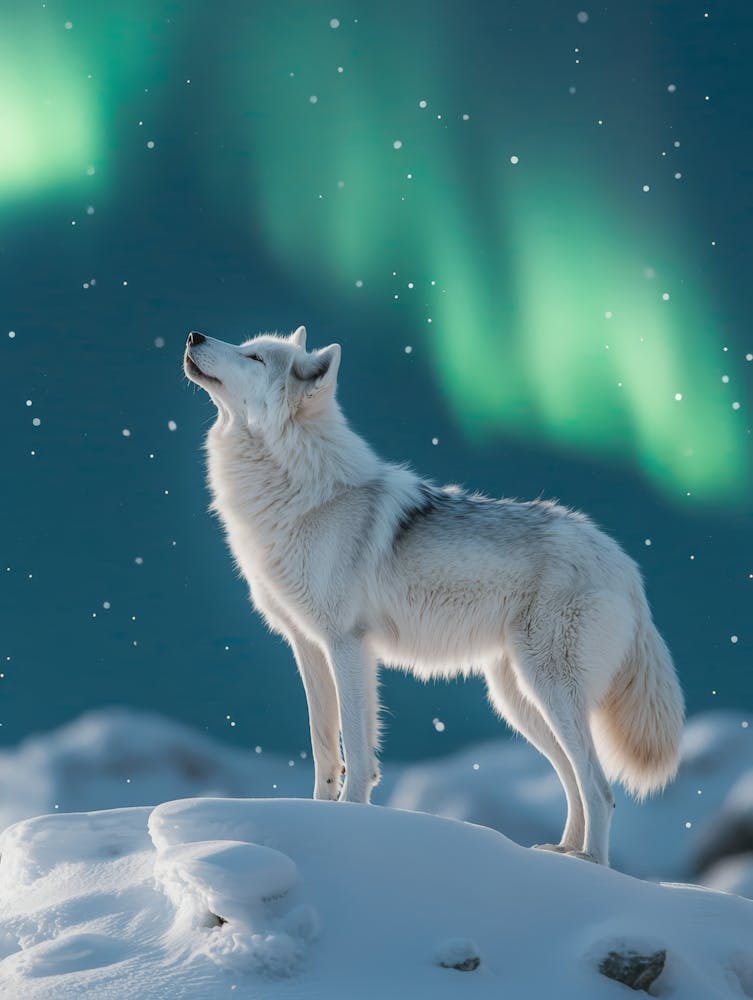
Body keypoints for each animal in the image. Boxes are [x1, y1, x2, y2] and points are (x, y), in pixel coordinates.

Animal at [184, 325, 684, 865]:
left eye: (254, 357)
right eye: (245, 346)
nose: (193, 334)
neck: (298, 489)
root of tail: (625, 565)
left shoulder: (347, 644)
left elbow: (355, 746)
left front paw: (351, 822)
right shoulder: (307, 645)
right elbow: (323, 747)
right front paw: (317, 816)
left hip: (550, 689)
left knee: (600, 787)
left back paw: (588, 864)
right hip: (519, 699)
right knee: (572, 779)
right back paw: (559, 852)